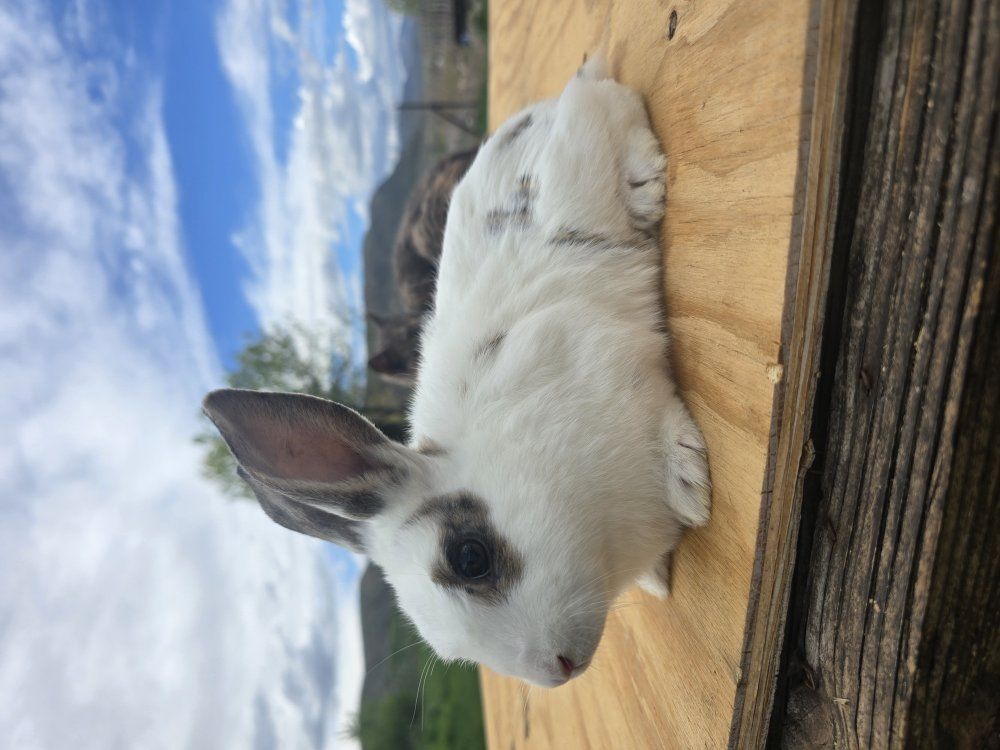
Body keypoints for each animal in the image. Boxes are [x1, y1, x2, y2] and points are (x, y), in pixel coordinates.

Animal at [202, 56, 711, 689]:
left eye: (470, 557)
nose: (560, 671)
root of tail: (531, 116)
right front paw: (659, 577)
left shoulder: (608, 364)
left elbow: (666, 422)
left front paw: (692, 487)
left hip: (584, 137)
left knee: (606, 101)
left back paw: (644, 185)